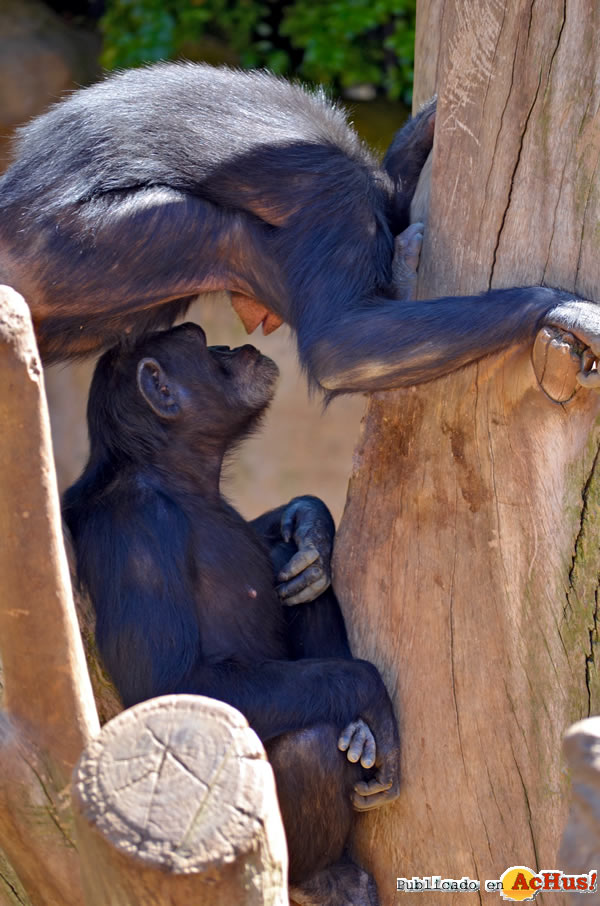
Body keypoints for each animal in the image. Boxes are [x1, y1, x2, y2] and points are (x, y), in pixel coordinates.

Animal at [1, 61, 600, 392]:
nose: (258, 318)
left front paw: (429, 122)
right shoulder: (339, 207)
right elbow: (344, 343)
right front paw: (563, 307)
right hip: (74, 248)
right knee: (224, 239)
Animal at [63, 322, 400, 900]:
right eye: (200, 341)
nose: (230, 346)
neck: (175, 474)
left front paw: (309, 522)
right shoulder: (138, 530)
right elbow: (171, 683)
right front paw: (370, 693)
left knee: (294, 577)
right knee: (310, 745)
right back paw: (327, 877)